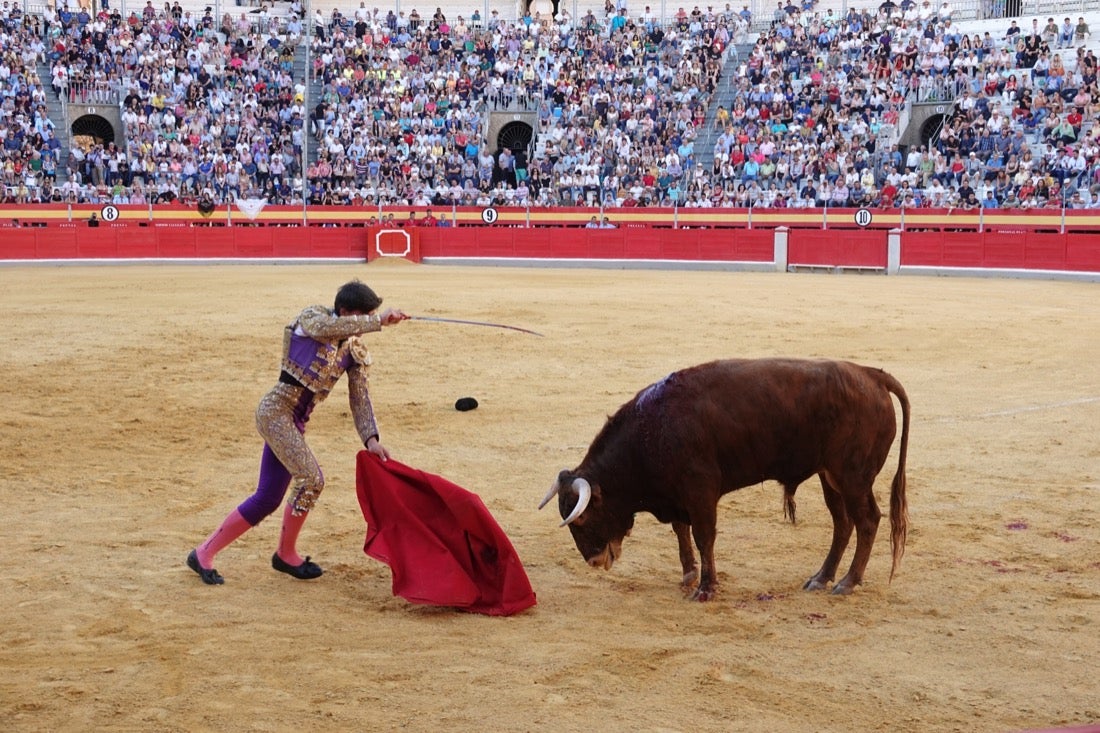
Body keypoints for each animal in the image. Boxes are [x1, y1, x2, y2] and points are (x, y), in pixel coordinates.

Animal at [541, 356, 910, 598]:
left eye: (581, 518)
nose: (593, 561)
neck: (651, 429)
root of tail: (871, 375)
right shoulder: (677, 495)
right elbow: (681, 531)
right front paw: (689, 575)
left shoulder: (700, 491)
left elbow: (704, 536)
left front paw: (706, 588)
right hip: (829, 476)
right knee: (842, 523)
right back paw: (821, 578)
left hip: (853, 476)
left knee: (867, 521)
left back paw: (848, 582)